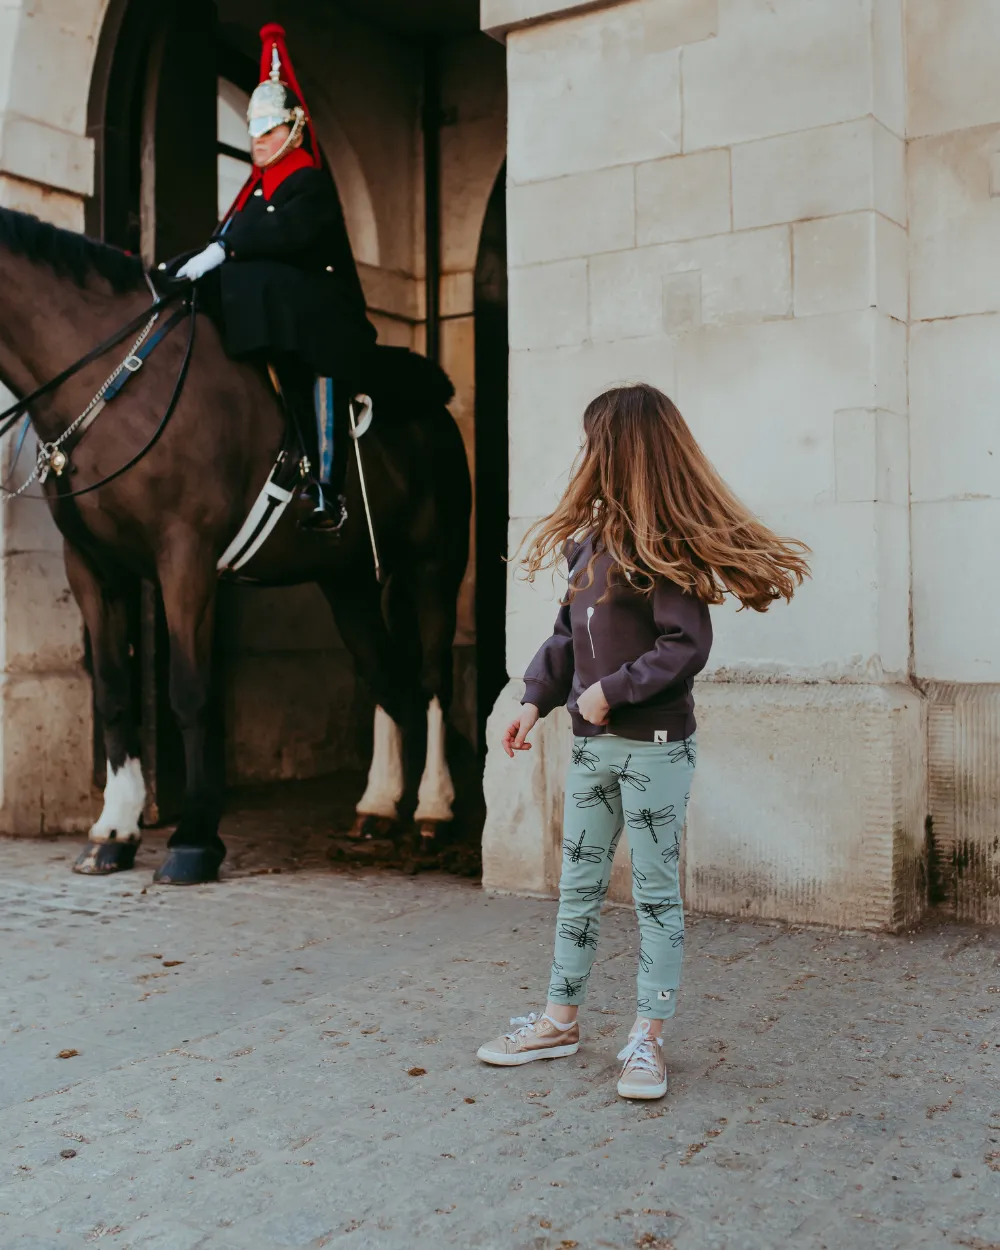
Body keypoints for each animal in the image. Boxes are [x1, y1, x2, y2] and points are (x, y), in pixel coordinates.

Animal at [0, 210, 472, 885]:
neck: (117, 383)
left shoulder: (185, 558)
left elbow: (190, 693)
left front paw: (194, 840)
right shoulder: (91, 567)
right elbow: (113, 692)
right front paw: (113, 831)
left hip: (433, 569)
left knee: (432, 680)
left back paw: (433, 810)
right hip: (349, 580)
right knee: (383, 673)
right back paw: (379, 806)